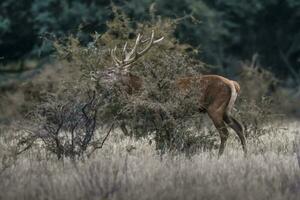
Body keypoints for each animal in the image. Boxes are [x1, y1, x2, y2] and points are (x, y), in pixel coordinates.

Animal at [98, 30, 246, 157]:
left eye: (111, 72)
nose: (98, 74)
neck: (142, 89)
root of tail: (233, 84)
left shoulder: (158, 110)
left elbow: (160, 135)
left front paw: (161, 152)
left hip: (215, 107)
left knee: (225, 133)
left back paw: (219, 157)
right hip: (227, 110)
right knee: (239, 127)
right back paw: (245, 154)